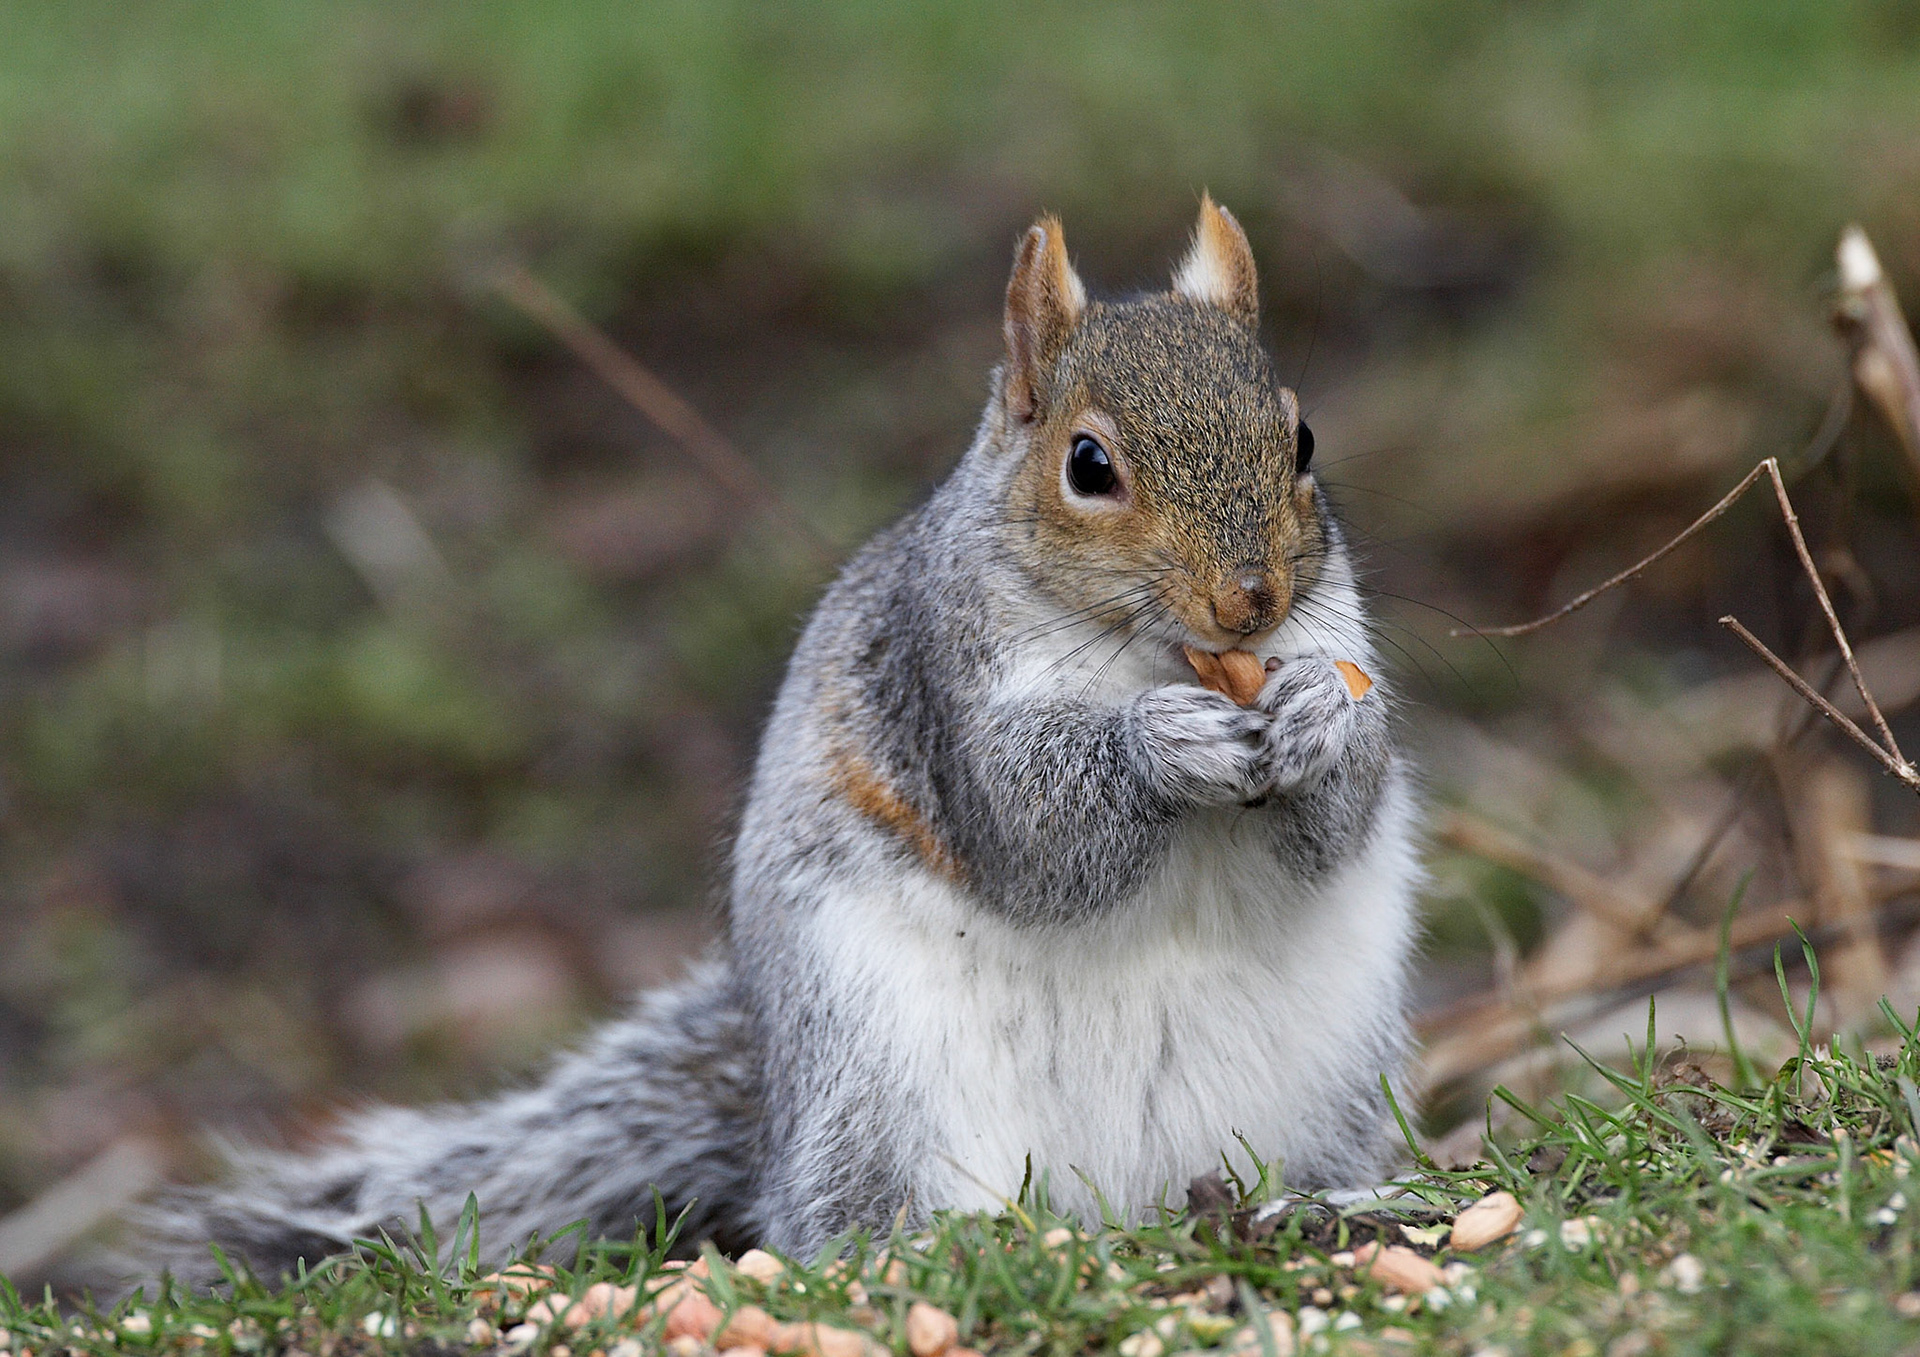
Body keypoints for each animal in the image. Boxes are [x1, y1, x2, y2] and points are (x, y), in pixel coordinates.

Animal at [126, 197, 1421, 1290]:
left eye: (1304, 439)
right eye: (1089, 465)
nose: (1251, 603)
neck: (1150, 651)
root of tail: (1122, 1205)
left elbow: (1337, 815)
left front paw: (1322, 715)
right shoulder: (939, 688)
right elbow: (1038, 834)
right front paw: (1164, 743)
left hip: (1329, 1073)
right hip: (877, 1070)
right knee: (841, 1213)